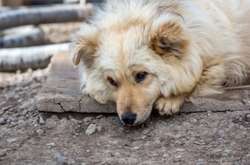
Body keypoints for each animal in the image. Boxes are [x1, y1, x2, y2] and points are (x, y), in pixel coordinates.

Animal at [71, 0, 250, 125]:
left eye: (141, 75)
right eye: (111, 81)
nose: (127, 119)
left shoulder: (219, 63)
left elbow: (194, 80)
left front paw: (170, 99)